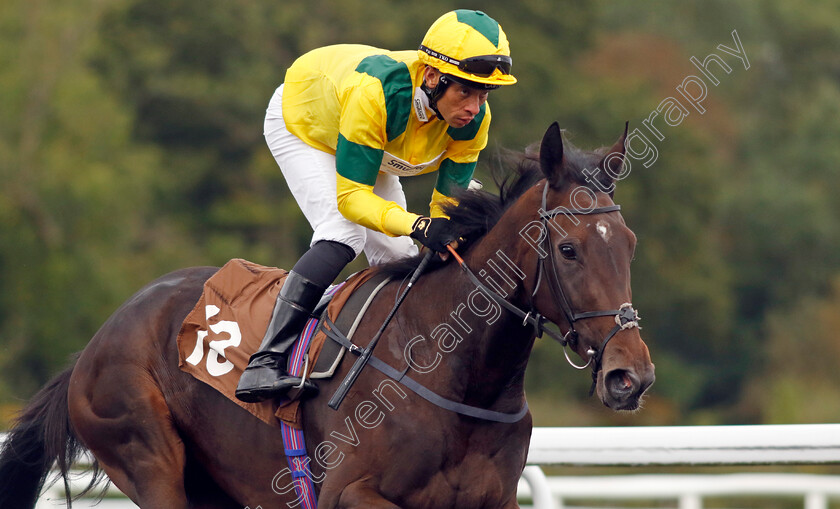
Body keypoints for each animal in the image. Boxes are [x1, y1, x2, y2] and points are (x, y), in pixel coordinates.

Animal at [0, 123, 656, 508]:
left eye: (629, 244)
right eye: (568, 249)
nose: (631, 375)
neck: (458, 376)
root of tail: (90, 349)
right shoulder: (351, 495)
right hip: (147, 456)